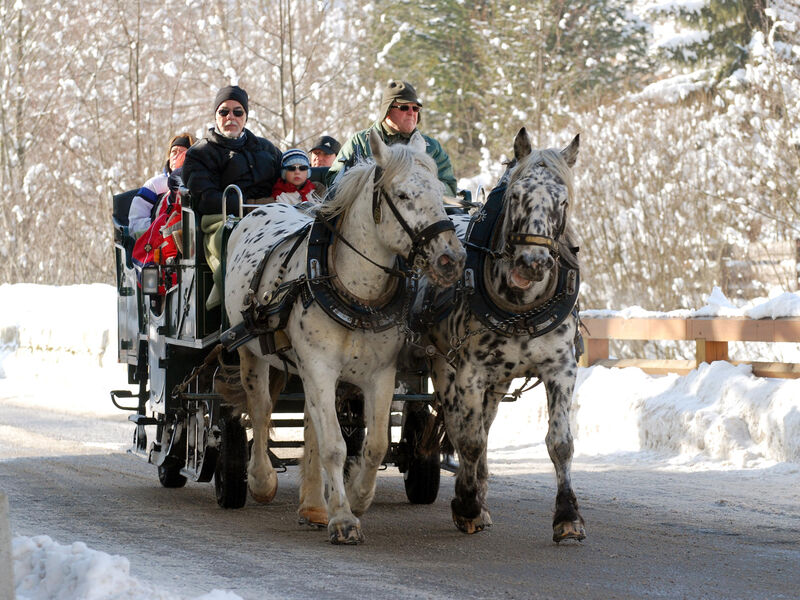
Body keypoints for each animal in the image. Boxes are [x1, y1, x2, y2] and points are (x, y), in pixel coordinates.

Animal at [222, 130, 466, 544]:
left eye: (439, 191)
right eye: (402, 194)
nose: (450, 258)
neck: (355, 293)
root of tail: (256, 211)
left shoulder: (380, 374)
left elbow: (375, 444)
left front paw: (356, 497)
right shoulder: (319, 366)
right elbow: (335, 446)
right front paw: (343, 519)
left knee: (310, 425)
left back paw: (312, 505)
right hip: (253, 354)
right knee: (259, 409)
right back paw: (262, 480)